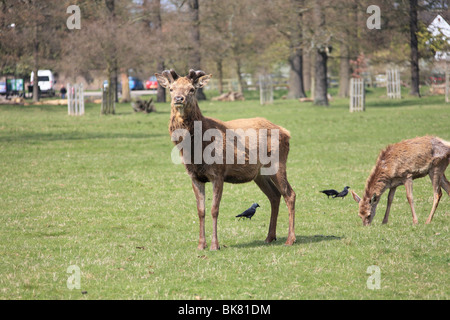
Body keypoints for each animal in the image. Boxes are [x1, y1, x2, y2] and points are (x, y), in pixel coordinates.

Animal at [156, 69, 298, 250]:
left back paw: (290, 239)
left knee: (290, 194)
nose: (178, 99)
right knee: (274, 195)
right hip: (259, 174)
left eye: (192, 89)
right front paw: (200, 245)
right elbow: (200, 211)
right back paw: (269, 237)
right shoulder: (194, 176)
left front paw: (214, 245)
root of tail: (286, 132)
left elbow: (214, 209)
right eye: (171, 89)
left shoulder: (218, 173)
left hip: (278, 162)